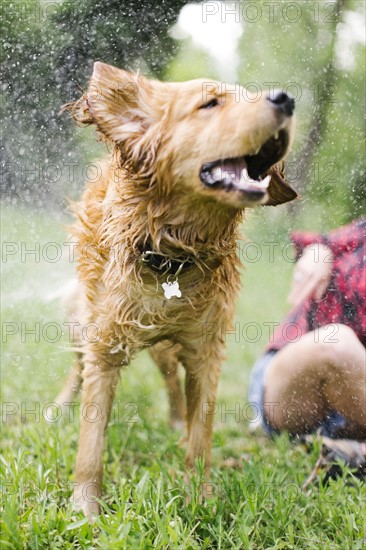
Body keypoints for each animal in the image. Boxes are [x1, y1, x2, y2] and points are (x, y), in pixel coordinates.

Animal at [58, 62, 296, 520]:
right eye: (210, 103)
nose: (286, 98)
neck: (172, 254)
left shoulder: (205, 350)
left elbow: (201, 434)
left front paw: (198, 496)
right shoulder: (105, 344)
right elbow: (91, 440)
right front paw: (85, 508)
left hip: (165, 345)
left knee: (169, 378)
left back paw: (173, 422)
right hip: (82, 318)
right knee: (77, 366)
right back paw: (59, 405)